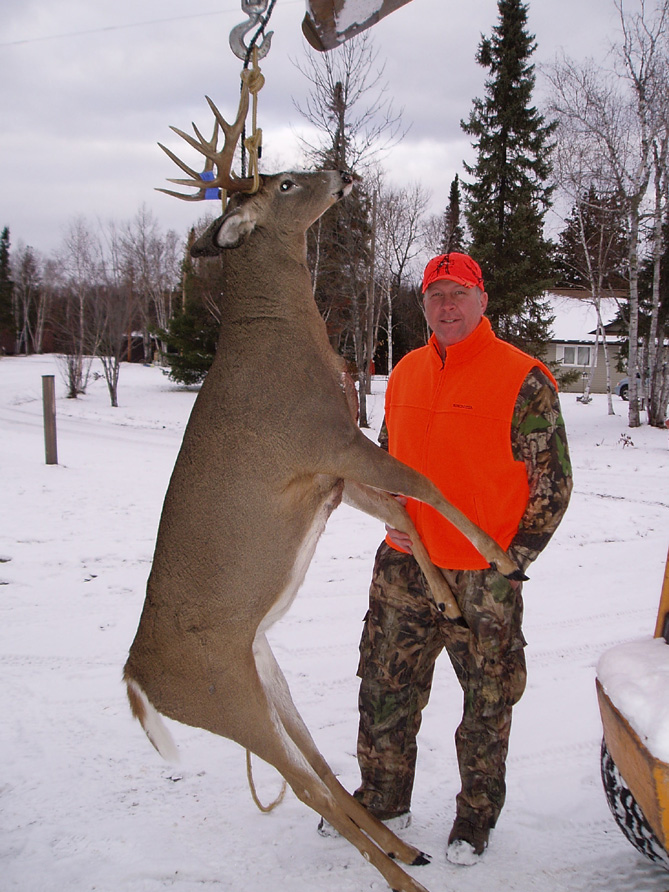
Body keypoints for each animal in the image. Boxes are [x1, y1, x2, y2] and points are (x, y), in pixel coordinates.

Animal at [124, 74, 525, 892]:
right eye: (282, 181)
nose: (341, 171)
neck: (285, 339)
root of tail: (134, 680)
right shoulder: (328, 439)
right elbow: (420, 484)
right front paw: (498, 558)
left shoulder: (329, 476)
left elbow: (401, 509)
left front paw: (448, 600)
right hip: (221, 692)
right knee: (303, 782)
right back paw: (405, 875)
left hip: (262, 667)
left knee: (316, 764)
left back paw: (404, 847)